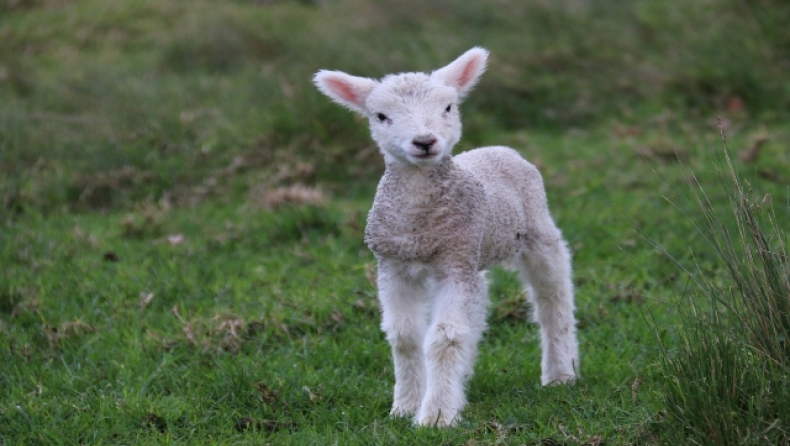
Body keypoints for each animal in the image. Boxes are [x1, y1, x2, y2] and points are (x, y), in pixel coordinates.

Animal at [314, 47, 580, 426]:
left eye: (449, 107)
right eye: (381, 116)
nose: (424, 141)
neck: (418, 226)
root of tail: (498, 148)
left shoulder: (453, 263)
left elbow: (445, 337)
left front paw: (436, 416)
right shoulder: (394, 265)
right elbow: (405, 337)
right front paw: (405, 406)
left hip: (536, 231)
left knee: (553, 298)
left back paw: (560, 374)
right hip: (474, 254)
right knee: (479, 305)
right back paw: (463, 379)